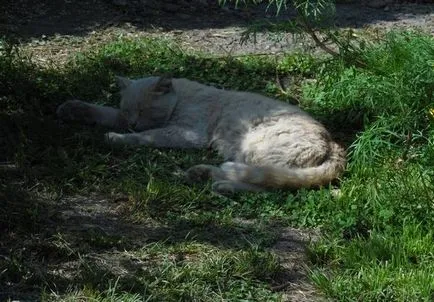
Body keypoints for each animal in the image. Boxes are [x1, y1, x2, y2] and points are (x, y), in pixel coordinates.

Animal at [56, 75, 346, 193]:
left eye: (146, 109)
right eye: (128, 109)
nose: (134, 123)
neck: (181, 98)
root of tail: (334, 146)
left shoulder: (185, 132)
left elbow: (149, 137)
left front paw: (117, 139)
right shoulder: (120, 118)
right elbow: (103, 112)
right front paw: (72, 108)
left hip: (254, 148)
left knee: (267, 180)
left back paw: (211, 177)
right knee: (273, 183)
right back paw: (211, 179)